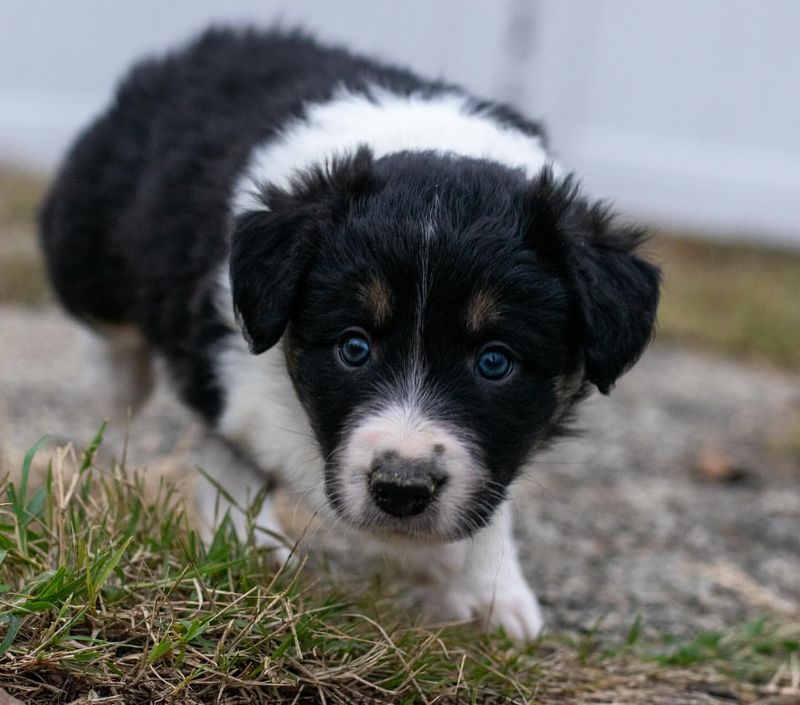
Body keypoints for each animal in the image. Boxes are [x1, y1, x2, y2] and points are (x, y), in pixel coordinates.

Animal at [40, 28, 660, 640]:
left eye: (495, 362)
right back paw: (123, 390)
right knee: (114, 338)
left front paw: (495, 595)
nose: (402, 489)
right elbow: (267, 451)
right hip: (88, 243)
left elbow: (487, 496)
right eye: (354, 348)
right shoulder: (238, 361)